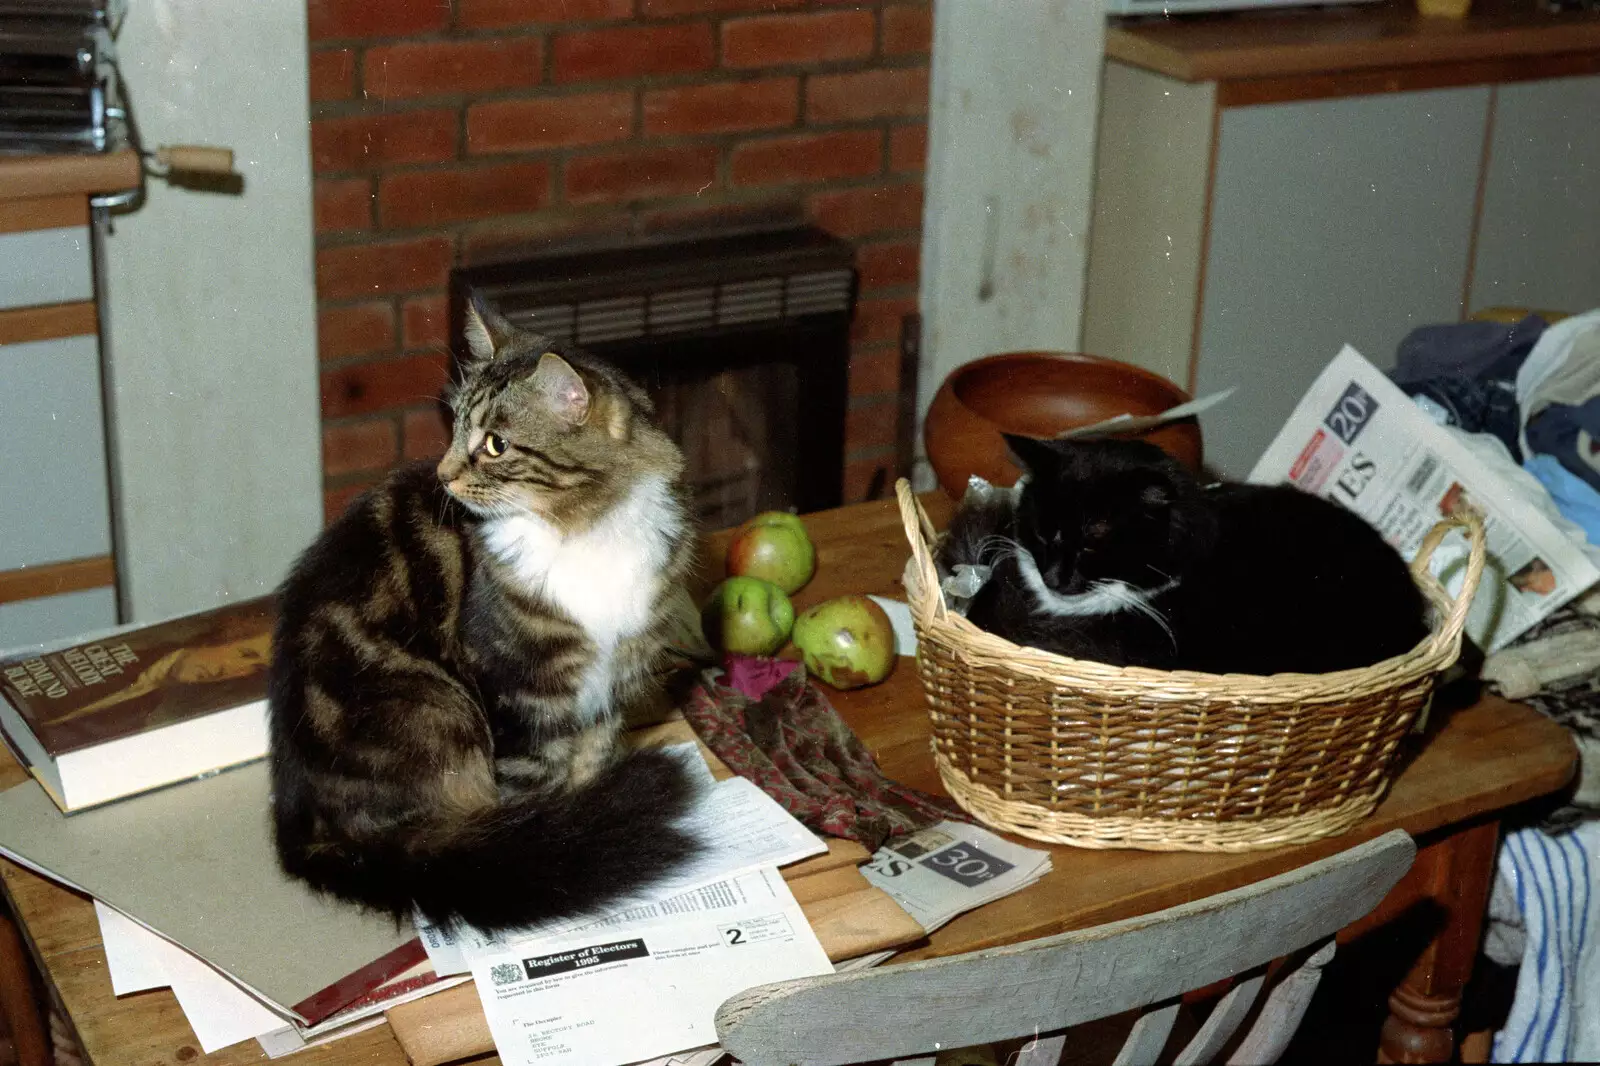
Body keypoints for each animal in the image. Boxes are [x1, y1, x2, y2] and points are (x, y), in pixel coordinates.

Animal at [268, 294, 700, 928]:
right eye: (453, 428)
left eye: (495, 444)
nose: (443, 475)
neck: (582, 531)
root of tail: (306, 835)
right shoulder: (520, 693)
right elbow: (539, 800)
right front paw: (566, 849)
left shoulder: (607, 688)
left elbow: (590, 770)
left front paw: (594, 816)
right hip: (437, 707)